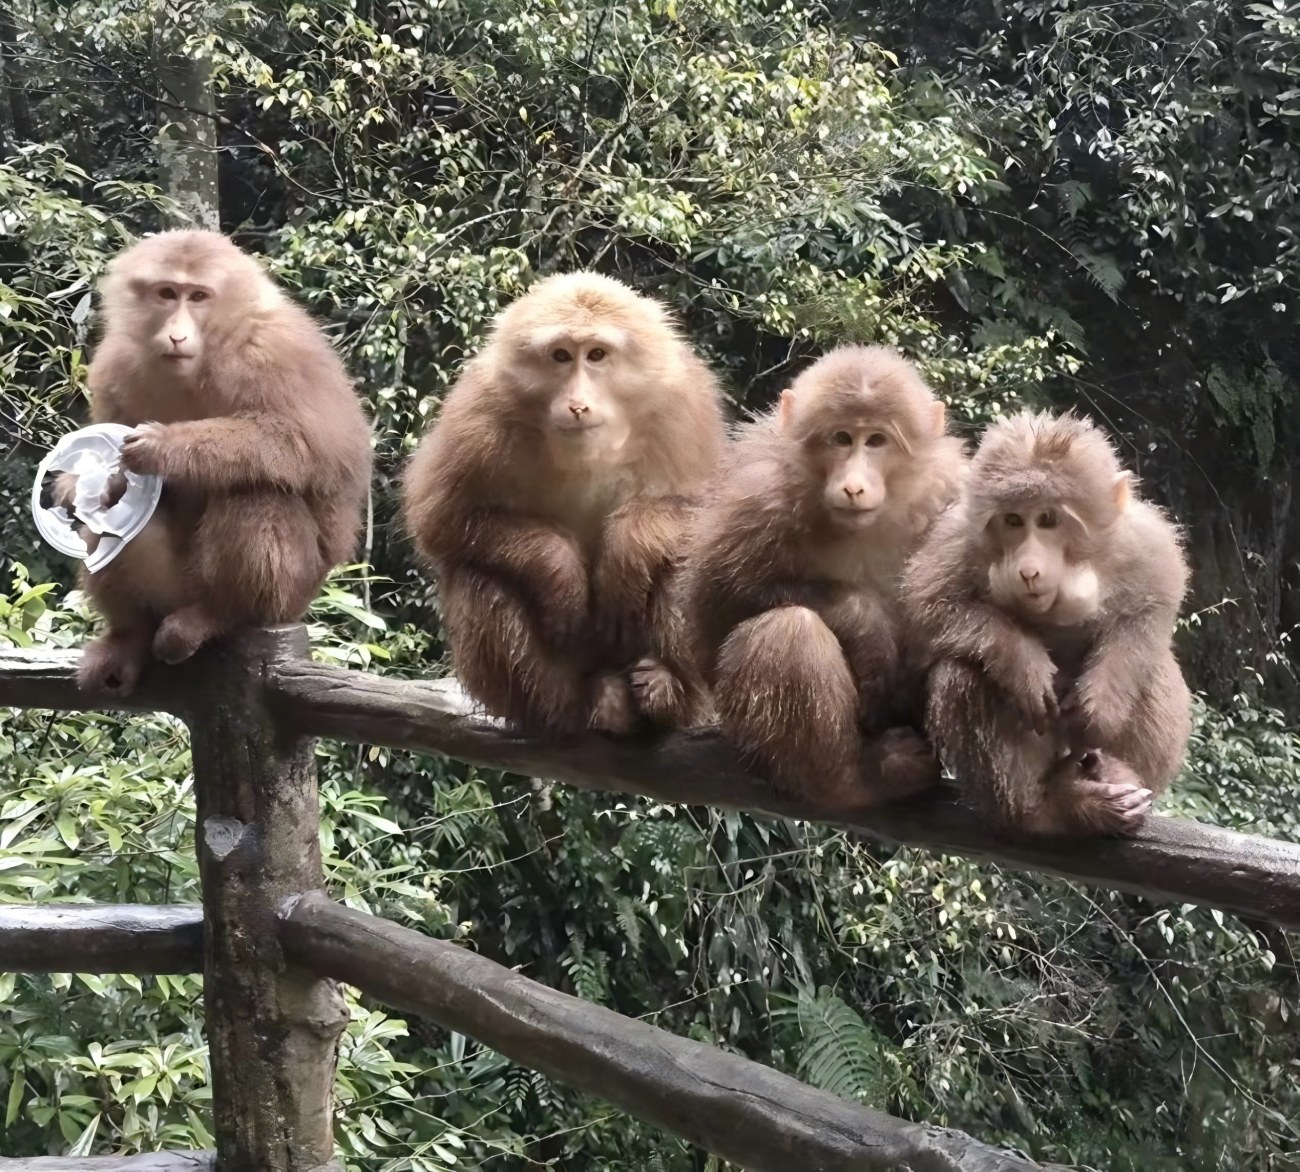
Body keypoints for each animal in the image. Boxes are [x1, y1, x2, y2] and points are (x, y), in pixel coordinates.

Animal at [65, 229, 372, 696]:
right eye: (167, 293)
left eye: (199, 297)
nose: (176, 335)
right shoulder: (113, 364)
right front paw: (97, 481)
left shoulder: (277, 349)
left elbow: (317, 450)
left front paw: (165, 446)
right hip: (170, 590)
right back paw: (130, 634)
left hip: (290, 597)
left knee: (259, 492)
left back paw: (218, 615)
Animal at [401, 270, 727, 737]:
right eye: (560, 356)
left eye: (596, 355)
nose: (577, 404)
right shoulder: (480, 410)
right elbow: (440, 517)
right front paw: (559, 571)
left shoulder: (683, 405)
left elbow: (715, 510)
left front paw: (626, 550)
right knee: (477, 575)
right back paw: (578, 705)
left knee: (680, 558)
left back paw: (666, 691)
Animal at [673, 345, 968, 809]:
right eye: (842, 438)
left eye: (877, 441)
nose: (853, 486)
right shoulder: (761, 494)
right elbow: (713, 604)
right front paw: (867, 623)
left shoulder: (951, 491)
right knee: (789, 629)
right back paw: (854, 779)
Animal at [903, 410, 1192, 837]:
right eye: (1013, 520)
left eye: (1049, 519)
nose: (1028, 570)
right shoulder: (957, 539)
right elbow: (926, 609)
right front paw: (1022, 663)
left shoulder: (1142, 539)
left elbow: (1151, 606)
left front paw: (1102, 704)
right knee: (959, 674)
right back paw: (1051, 806)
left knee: (1151, 668)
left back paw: (1116, 773)